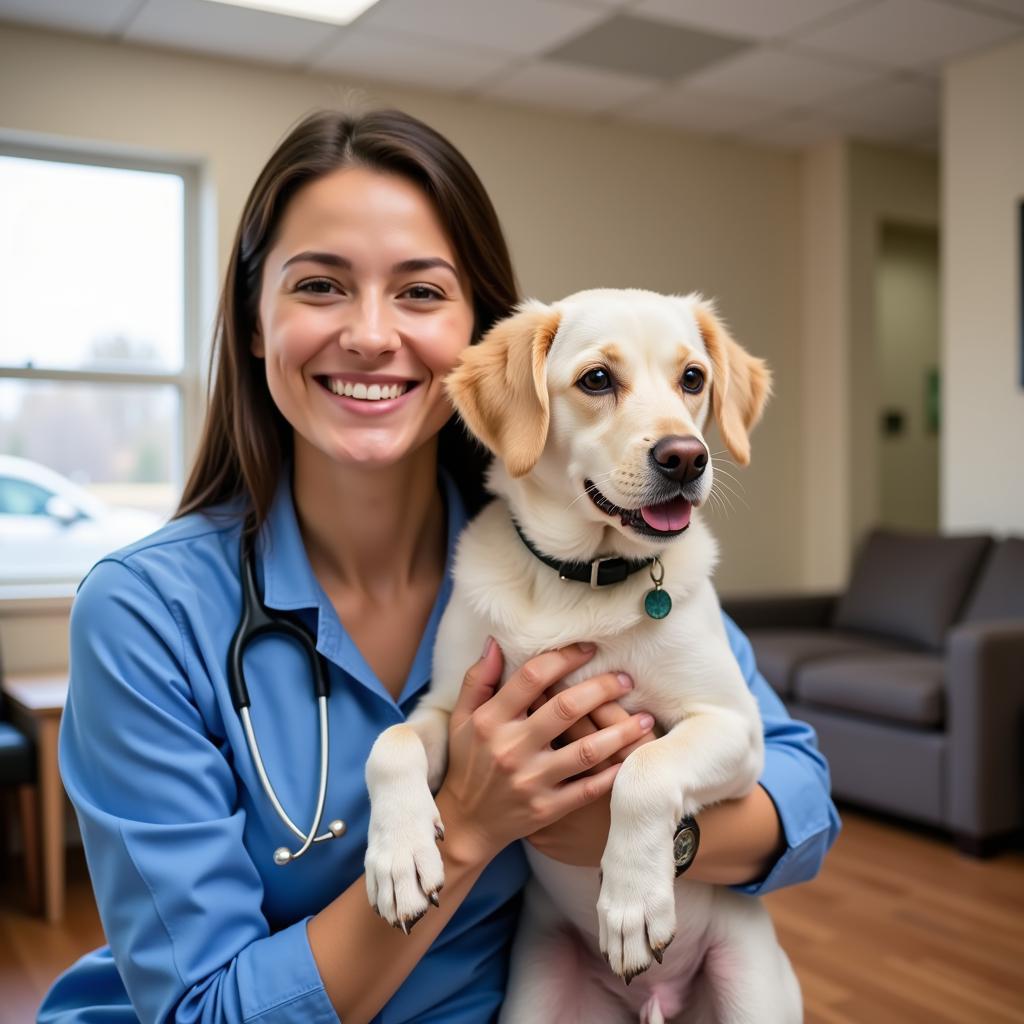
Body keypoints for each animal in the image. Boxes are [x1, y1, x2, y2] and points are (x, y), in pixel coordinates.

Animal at [364, 290, 802, 1024]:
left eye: (693, 378)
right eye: (597, 379)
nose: (686, 458)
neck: (583, 580)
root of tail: (656, 1003)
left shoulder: (736, 728)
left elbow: (645, 771)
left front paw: (631, 905)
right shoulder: (451, 706)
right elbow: (389, 744)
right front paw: (398, 860)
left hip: (752, 991)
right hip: (535, 997)